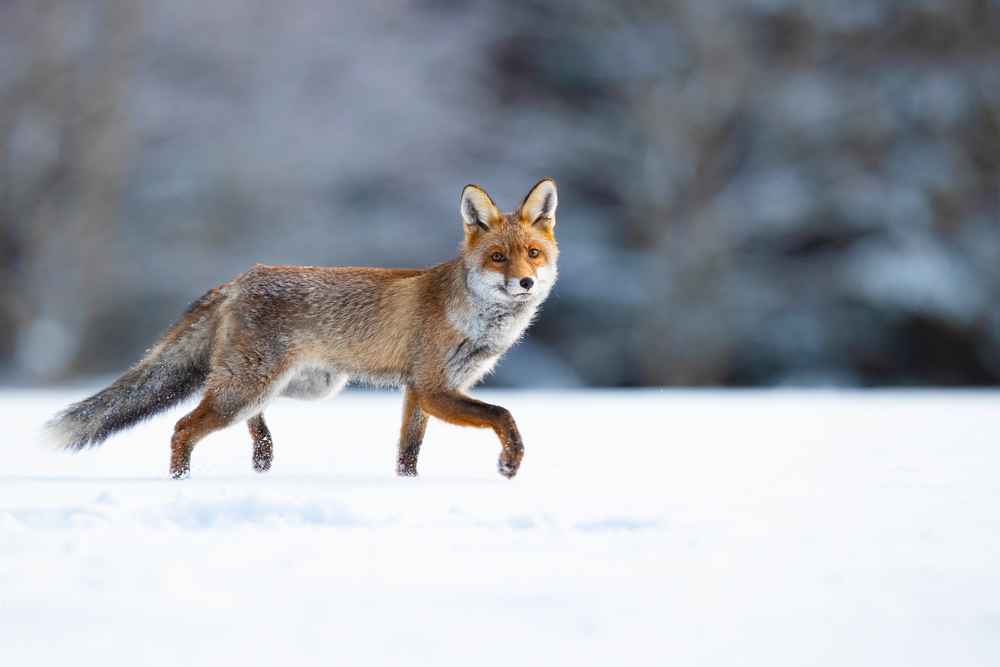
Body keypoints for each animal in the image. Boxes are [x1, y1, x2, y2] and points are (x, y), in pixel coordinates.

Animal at [43, 177, 560, 480]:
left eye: (533, 254)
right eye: (498, 257)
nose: (526, 282)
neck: (475, 320)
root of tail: (241, 277)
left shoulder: (418, 391)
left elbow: (408, 451)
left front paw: (407, 487)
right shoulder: (434, 387)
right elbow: (504, 415)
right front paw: (509, 464)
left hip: (298, 385)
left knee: (246, 416)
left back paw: (263, 457)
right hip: (253, 386)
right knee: (182, 428)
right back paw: (181, 484)